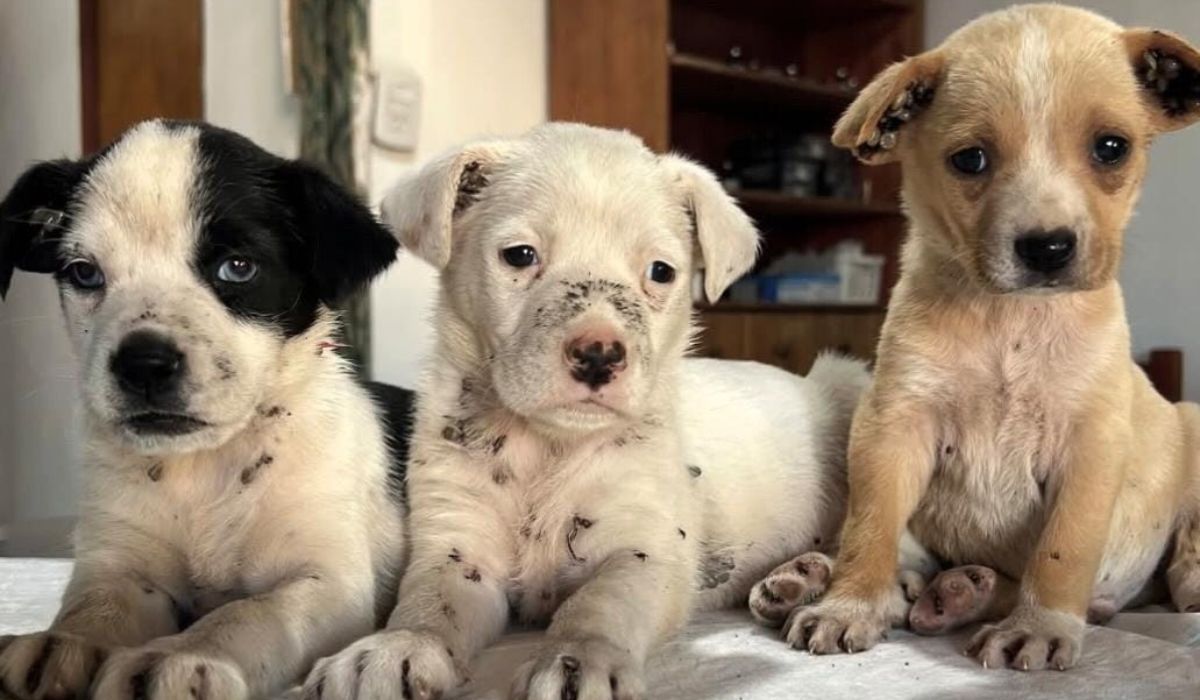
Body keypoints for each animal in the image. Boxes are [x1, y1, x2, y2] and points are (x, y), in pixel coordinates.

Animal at [0, 120, 412, 698]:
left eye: (237, 268)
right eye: (84, 273)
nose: (143, 365)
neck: (206, 465)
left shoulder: (329, 583)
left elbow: (247, 614)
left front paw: (181, 654)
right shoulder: (124, 568)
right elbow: (97, 604)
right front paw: (66, 641)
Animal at [300, 122, 869, 699]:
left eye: (661, 271)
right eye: (520, 255)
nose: (598, 355)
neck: (547, 446)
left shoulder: (648, 548)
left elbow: (601, 602)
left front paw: (579, 658)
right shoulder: (457, 543)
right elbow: (428, 602)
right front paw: (394, 648)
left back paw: (822, 594)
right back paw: (795, 580)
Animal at [754, 4, 1200, 672]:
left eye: (1111, 147)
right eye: (970, 160)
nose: (1047, 248)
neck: (1009, 322)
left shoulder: (1092, 445)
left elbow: (1062, 550)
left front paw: (1040, 627)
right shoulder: (892, 427)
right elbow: (869, 528)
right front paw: (849, 604)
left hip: (1190, 424)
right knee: (912, 565)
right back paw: (843, 581)